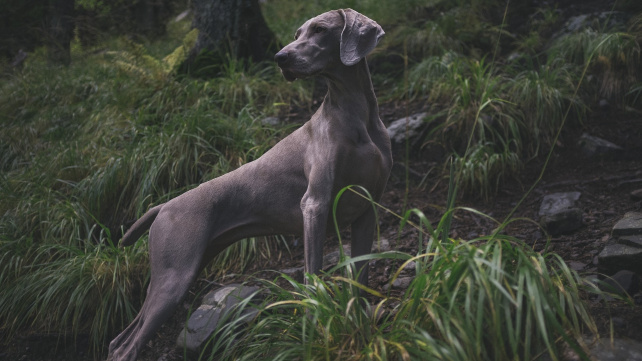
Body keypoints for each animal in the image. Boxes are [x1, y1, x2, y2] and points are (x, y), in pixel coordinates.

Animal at [107, 8, 390, 360]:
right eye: (297, 33)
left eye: (320, 30)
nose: (280, 57)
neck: (356, 115)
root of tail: (163, 205)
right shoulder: (315, 204)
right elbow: (313, 274)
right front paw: (316, 323)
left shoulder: (367, 209)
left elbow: (360, 275)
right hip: (173, 277)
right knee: (126, 346)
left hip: (179, 271)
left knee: (118, 339)